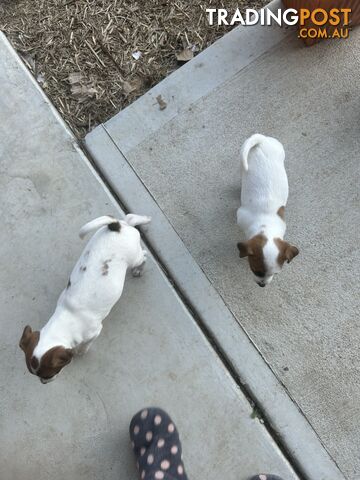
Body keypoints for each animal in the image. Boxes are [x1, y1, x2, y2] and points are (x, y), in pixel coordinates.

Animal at [19, 214, 151, 382]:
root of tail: (116, 226)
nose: (44, 382)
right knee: (129, 218)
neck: (67, 317)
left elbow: (84, 346)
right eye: (34, 375)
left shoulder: (94, 332)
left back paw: (139, 268)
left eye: (49, 374)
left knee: (144, 255)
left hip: (134, 257)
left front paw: (81, 352)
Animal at [238, 133, 300, 286]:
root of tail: (262, 140)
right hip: (242, 161)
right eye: (256, 271)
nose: (262, 285)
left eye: (275, 274)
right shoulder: (240, 217)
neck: (266, 225)